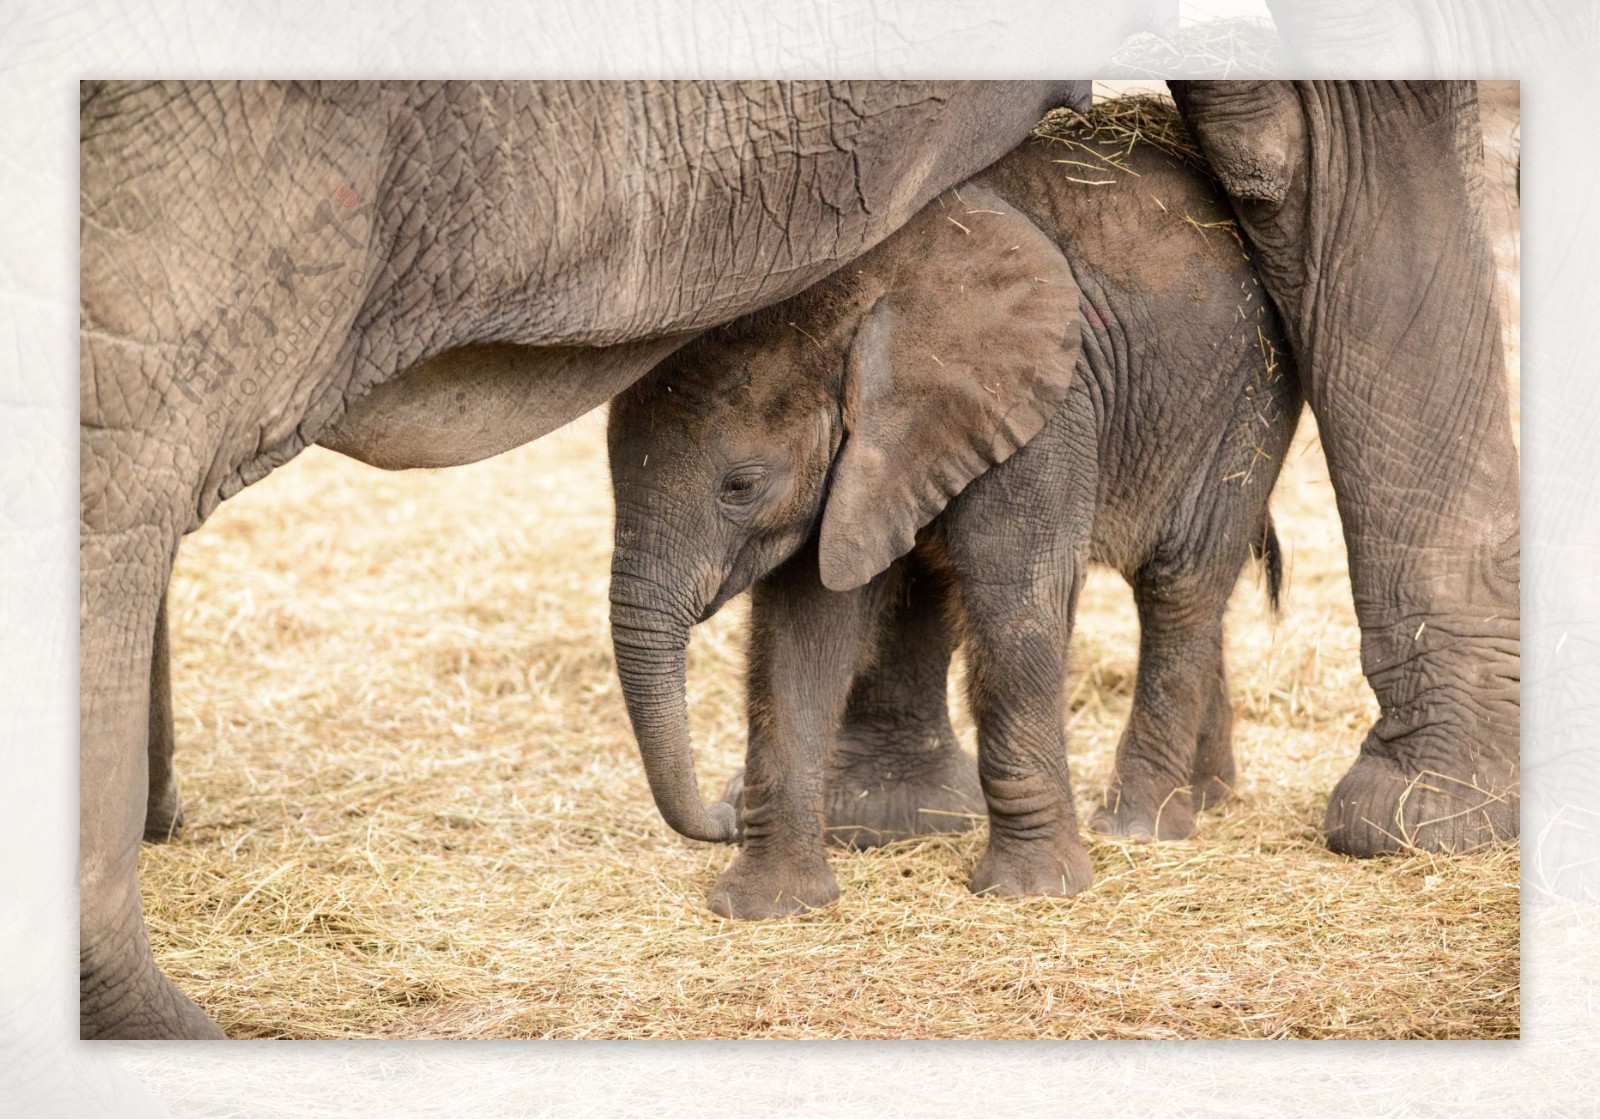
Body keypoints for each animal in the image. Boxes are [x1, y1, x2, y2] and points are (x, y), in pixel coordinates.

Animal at [604, 98, 1292, 921]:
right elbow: (802, 628)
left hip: (1245, 402)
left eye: (740, 486)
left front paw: (1033, 891)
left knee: (1179, 585)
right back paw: (1210, 797)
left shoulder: (1044, 406)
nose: (721, 809)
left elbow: (1013, 600)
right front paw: (768, 906)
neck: (865, 297)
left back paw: (1140, 825)